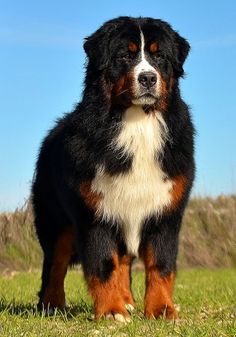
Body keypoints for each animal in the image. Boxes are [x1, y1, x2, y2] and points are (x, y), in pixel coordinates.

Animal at [33, 15, 195, 320]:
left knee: (123, 261)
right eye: (124, 56)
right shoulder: (94, 210)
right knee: (55, 264)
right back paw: (51, 305)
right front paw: (111, 311)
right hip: (56, 220)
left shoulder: (165, 210)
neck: (137, 125)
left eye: (159, 56)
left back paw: (128, 301)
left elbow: (160, 264)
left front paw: (161, 310)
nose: (147, 78)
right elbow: (103, 264)